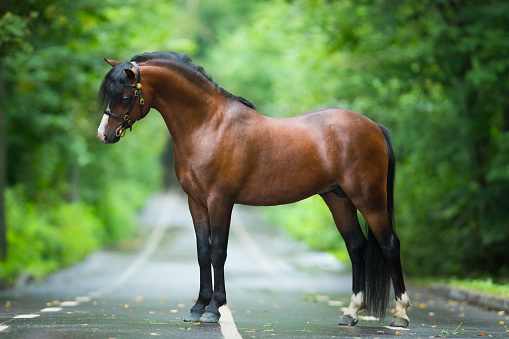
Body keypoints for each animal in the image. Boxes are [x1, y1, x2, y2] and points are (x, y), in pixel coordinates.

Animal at [97, 51, 410, 328]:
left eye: (124, 96)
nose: (104, 134)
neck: (208, 125)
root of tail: (374, 127)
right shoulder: (195, 202)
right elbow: (202, 251)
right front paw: (197, 307)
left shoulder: (220, 201)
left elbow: (218, 251)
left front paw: (214, 309)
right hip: (338, 198)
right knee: (356, 246)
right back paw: (350, 313)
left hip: (368, 198)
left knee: (389, 244)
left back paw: (401, 314)